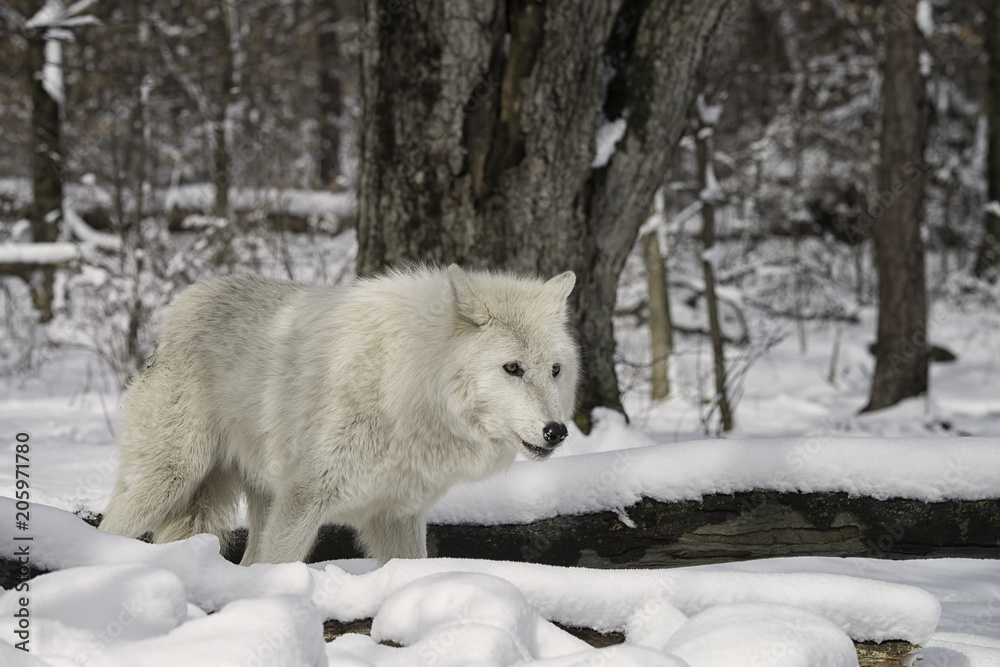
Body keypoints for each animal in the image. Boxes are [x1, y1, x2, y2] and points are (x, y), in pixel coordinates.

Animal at [99, 264, 578, 565]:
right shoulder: (304, 499)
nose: (557, 432)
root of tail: (179, 306)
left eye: (555, 370)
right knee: (109, 529)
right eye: (512, 368)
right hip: (169, 479)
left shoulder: (395, 515)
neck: (405, 384)